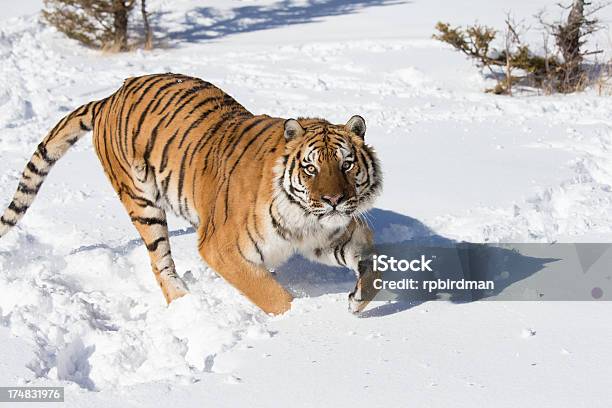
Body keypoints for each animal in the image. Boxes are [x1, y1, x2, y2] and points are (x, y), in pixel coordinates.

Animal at [0, 73, 382, 314]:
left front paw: (358, 298)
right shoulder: (221, 247)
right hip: (143, 203)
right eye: (310, 168)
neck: (304, 217)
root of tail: (109, 97)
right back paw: (184, 304)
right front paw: (298, 324)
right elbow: (273, 297)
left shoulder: (328, 236)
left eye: (346, 164)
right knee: (160, 262)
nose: (334, 201)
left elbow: (369, 264)